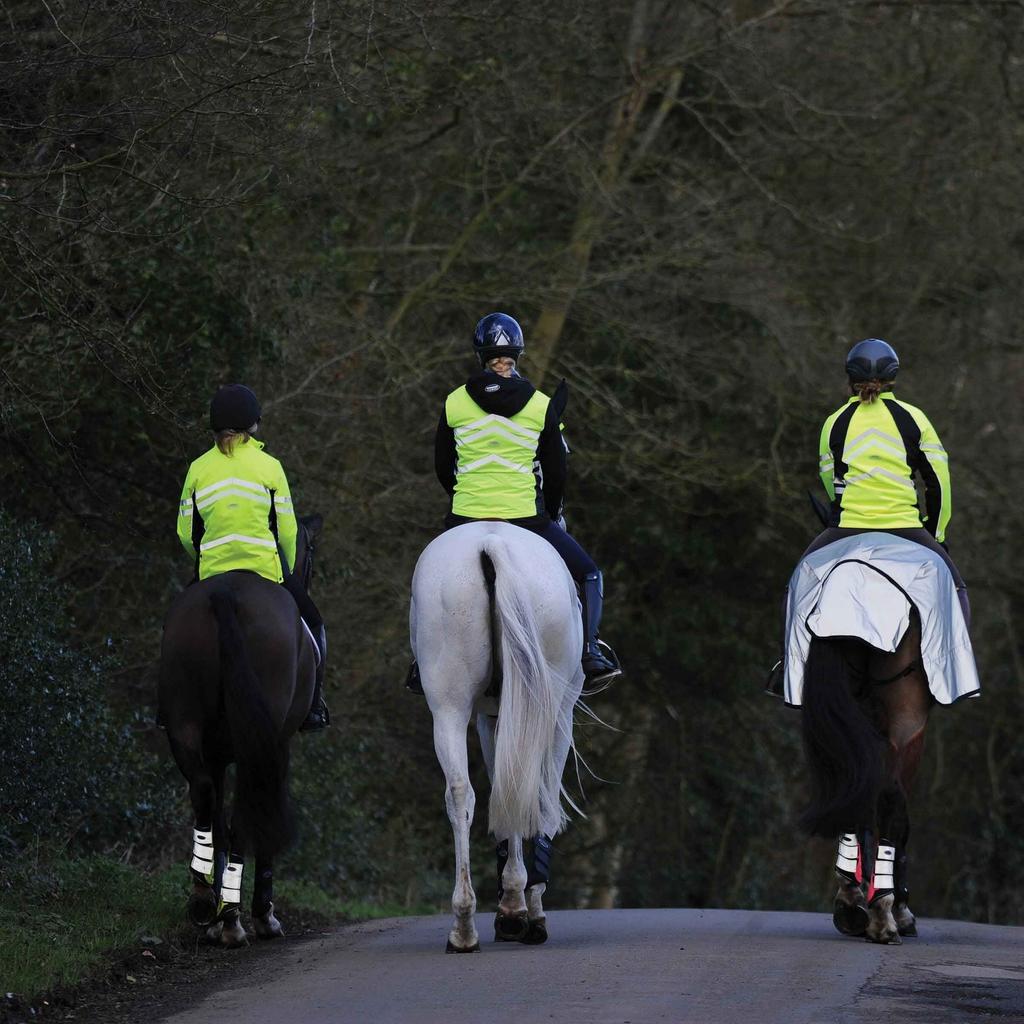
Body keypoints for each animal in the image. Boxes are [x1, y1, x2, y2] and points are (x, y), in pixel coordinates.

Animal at [158, 515, 322, 948]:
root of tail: (224, 596)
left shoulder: (216, 754)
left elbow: (214, 817)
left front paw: (216, 913)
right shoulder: (279, 744)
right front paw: (260, 916)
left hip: (184, 723)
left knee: (203, 796)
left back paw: (205, 903)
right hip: (261, 741)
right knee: (245, 815)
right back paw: (236, 919)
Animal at [410, 521, 585, 952]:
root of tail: (490, 544)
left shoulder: (490, 716)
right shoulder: (557, 714)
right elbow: (537, 797)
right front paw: (520, 909)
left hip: (449, 705)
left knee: (460, 793)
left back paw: (464, 926)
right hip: (552, 705)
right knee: (532, 791)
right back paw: (513, 914)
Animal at [788, 533, 979, 944]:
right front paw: (900, 911)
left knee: (852, 784)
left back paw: (852, 905)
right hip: (906, 714)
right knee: (891, 800)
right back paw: (884, 916)